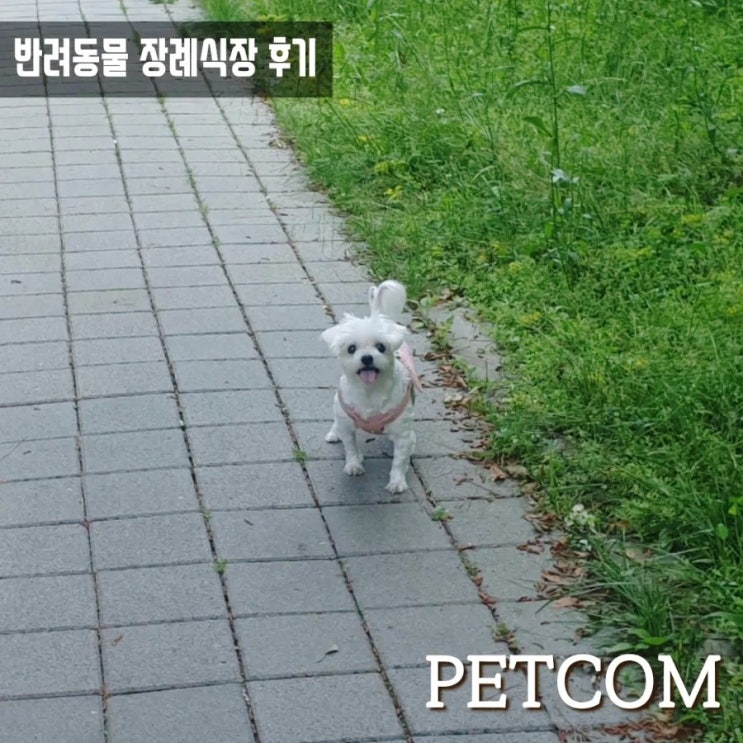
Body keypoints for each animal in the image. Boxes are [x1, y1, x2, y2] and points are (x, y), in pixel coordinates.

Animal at [321, 280, 422, 493]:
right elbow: (351, 447)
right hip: (339, 405)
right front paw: (354, 464)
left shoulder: (403, 434)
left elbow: (399, 460)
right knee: (338, 420)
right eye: (351, 348)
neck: (370, 391)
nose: (367, 358)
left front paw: (397, 481)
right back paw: (334, 432)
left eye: (381, 347)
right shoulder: (347, 424)